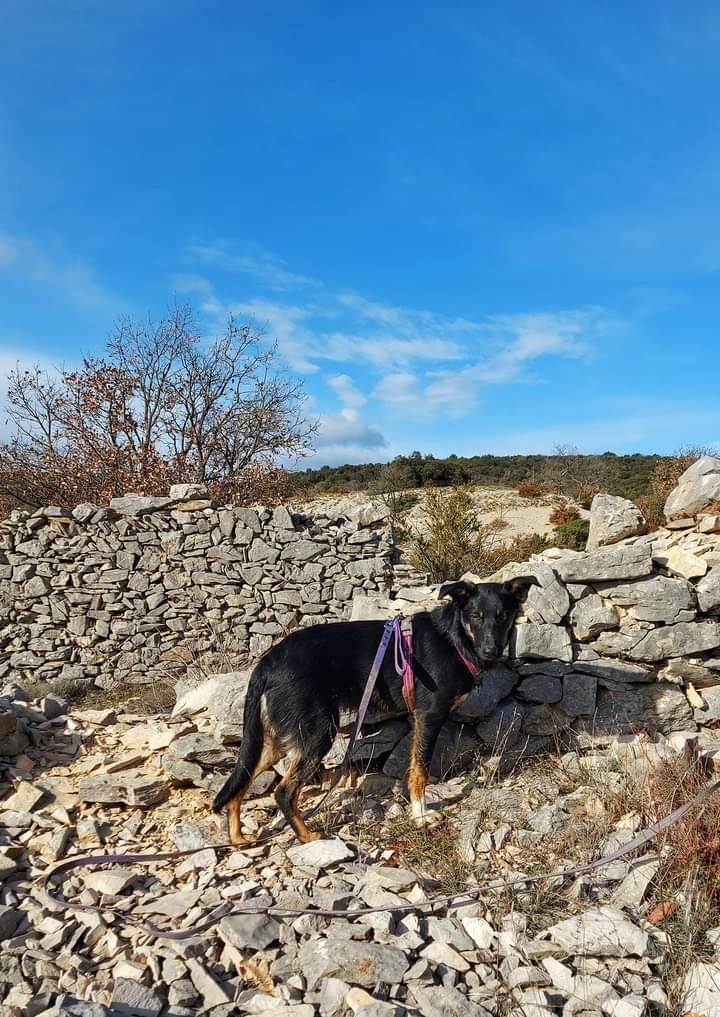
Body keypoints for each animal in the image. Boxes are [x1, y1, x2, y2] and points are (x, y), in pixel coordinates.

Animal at [210, 577, 536, 846]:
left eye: (503, 616)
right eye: (476, 616)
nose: (491, 651)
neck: (455, 638)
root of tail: (266, 662)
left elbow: (414, 768)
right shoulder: (429, 717)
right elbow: (420, 771)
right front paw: (420, 816)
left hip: (278, 740)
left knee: (242, 777)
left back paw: (237, 836)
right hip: (317, 733)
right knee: (283, 791)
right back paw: (308, 836)